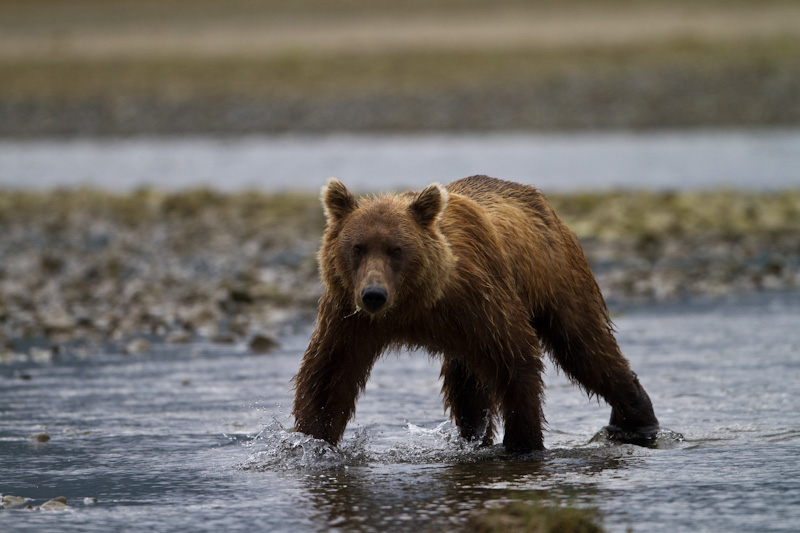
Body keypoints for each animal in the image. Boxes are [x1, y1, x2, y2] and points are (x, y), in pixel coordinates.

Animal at [290, 177, 660, 450]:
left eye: (397, 249)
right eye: (357, 247)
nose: (374, 295)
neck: (416, 305)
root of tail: (543, 204)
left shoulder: (479, 299)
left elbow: (516, 358)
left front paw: (522, 444)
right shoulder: (349, 315)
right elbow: (330, 374)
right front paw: (311, 439)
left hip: (558, 277)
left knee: (584, 347)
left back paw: (636, 420)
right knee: (466, 384)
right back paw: (474, 437)